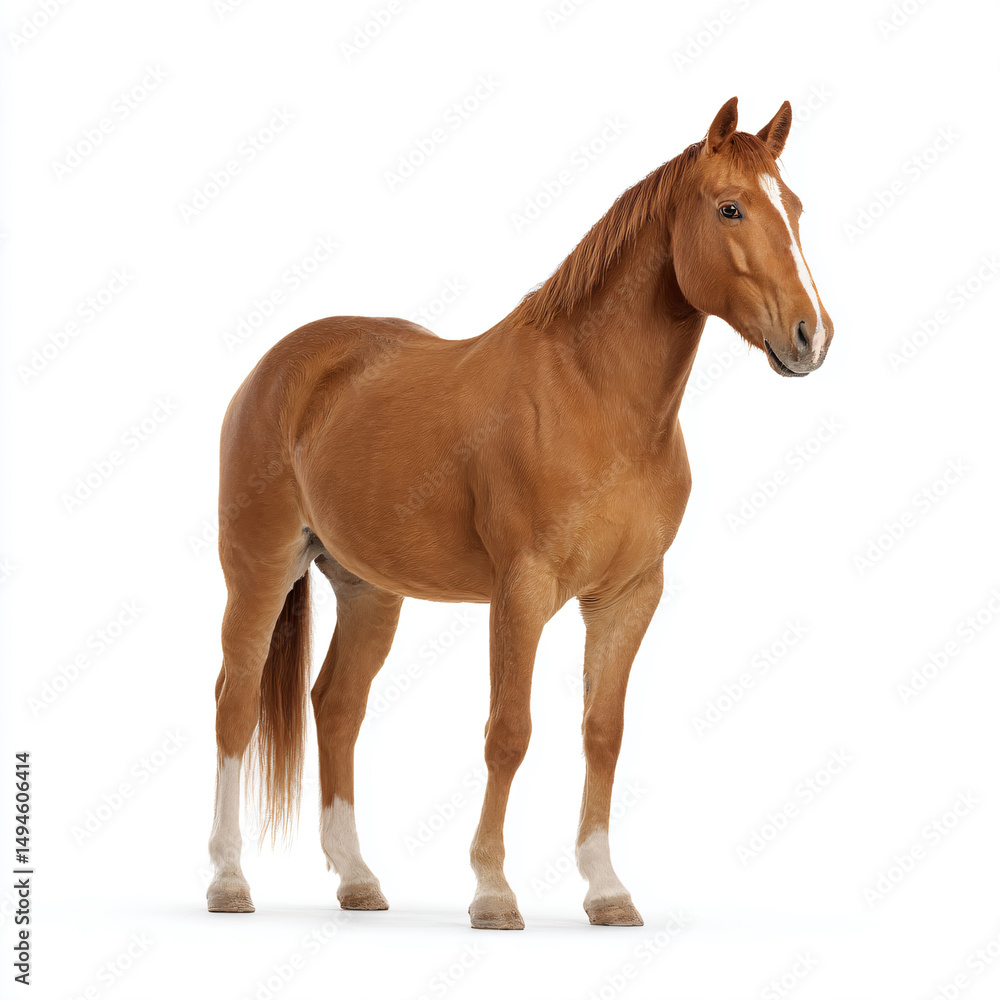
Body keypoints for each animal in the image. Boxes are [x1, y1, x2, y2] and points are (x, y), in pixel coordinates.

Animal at [206, 96, 833, 929]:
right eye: (731, 207)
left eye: (793, 207)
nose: (811, 336)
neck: (596, 399)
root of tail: (279, 365)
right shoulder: (522, 591)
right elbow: (509, 731)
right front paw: (493, 892)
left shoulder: (629, 596)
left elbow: (603, 733)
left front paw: (607, 889)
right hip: (261, 568)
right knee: (235, 703)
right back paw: (228, 880)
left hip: (369, 589)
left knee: (336, 706)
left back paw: (358, 880)